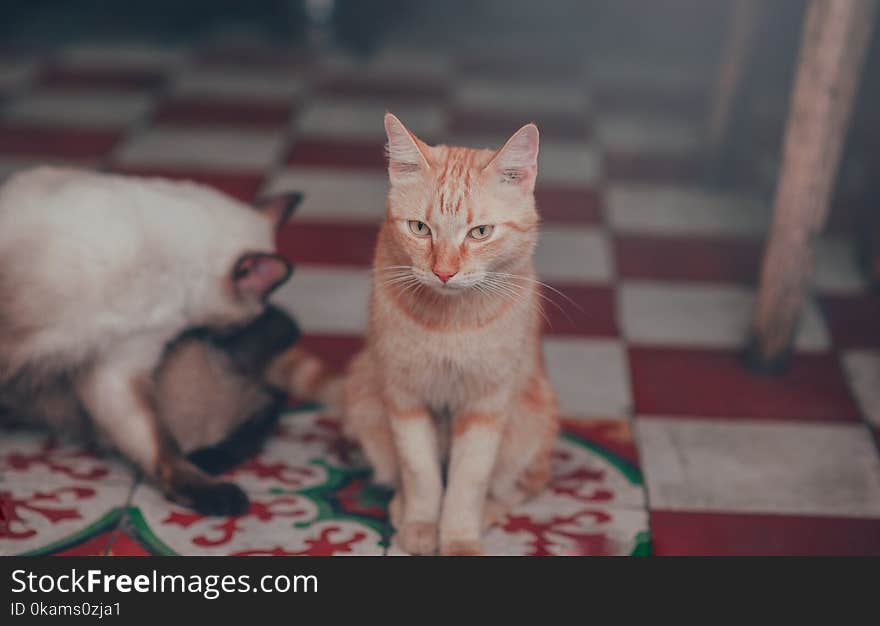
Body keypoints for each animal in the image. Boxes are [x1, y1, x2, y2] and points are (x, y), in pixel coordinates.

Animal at [340, 114, 560, 552]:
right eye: (420, 228)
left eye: (480, 233)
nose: (444, 272)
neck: (449, 323)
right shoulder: (404, 397)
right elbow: (421, 473)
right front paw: (421, 525)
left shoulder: (485, 406)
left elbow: (467, 482)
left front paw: (459, 538)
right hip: (363, 398)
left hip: (530, 421)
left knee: (523, 484)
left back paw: (488, 512)